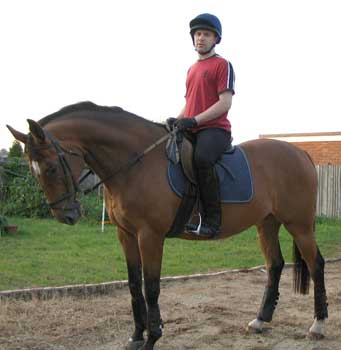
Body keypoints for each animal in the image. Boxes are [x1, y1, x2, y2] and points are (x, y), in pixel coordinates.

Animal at [7, 102, 326, 350]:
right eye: (33, 171)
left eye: (50, 167)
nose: (66, 215)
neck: (136, 164)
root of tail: (301, 153)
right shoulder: (125, 234)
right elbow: (134, 284)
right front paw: (136, 336)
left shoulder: (150, 236)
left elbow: (151, 287)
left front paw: (152, 337)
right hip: (267, 223)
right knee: (275, 265)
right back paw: (261, 319)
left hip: (299, 225)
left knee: (316, 264)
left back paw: (318, 324)